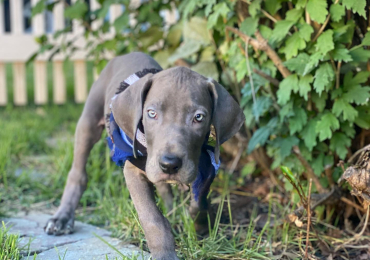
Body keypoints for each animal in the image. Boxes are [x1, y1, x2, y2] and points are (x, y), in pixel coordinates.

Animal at [44, 51, 246, 258]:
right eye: (151, 113)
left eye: (199, 117)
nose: (169, 164)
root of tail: (128, 53)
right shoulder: (133, 170)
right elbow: (152, 218)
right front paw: (165, 254)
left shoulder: (204, 164)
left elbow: (199, 200)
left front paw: (200, 226)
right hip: (88, 123)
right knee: (78, 172)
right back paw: (62, 218)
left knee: (164, 188)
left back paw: (173, 213)